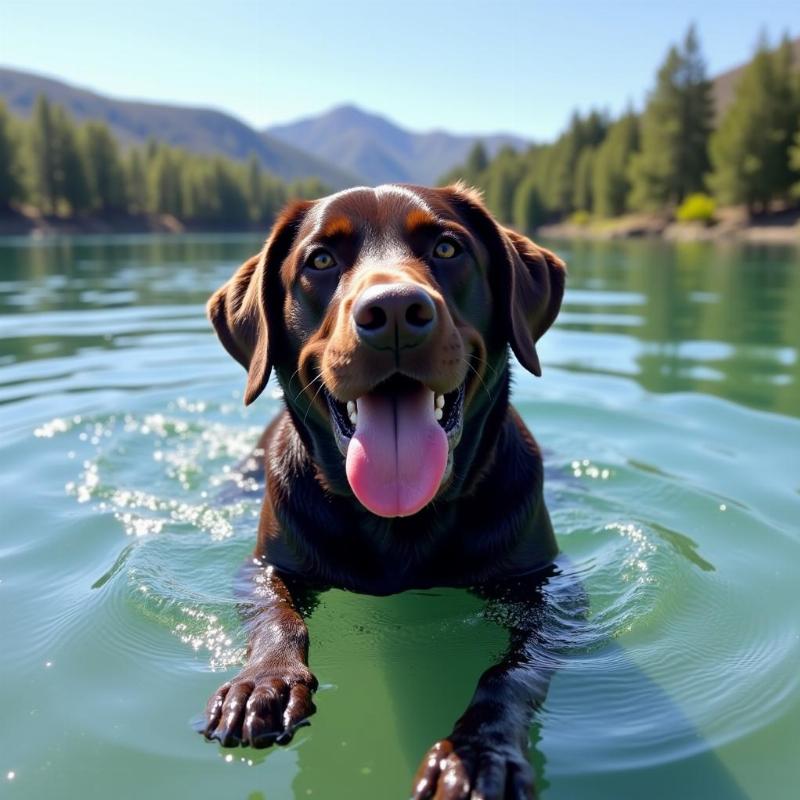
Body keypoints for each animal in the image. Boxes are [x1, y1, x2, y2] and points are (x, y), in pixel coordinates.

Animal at [203, 184, 572, 796]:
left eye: (446, 247)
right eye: (320, 259)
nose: (395, 310)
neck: (400, 523)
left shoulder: (545, 588)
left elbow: (514, 672)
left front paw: (479, 753)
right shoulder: (266, 566)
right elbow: (276, 616)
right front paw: (264, 684)